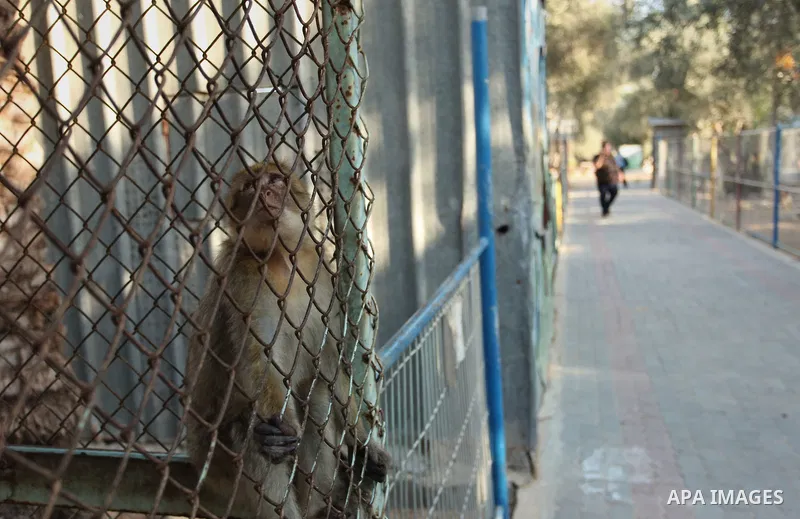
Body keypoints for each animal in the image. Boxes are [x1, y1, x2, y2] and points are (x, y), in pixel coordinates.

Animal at [184, 159, 391, 519]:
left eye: (276, 180)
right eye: (249, 187)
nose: (264, 193)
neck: (281, 258)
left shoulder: (321, 278)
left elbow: (330, 365)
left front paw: (363, 445)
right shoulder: (245, 280)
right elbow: (260, 358)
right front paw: (278, 433)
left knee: (316, 391)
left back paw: (320, 503)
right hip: (218, 474)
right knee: (252, 436)